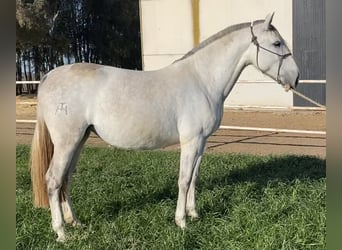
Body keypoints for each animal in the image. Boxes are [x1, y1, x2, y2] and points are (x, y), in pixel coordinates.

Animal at [30, 12, 298, 241]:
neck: (202, 80)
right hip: (67, 142)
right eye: (276, 43)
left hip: (80, 139)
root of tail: (48, 76)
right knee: (53, 179)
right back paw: (61, 232)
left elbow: (194, 177)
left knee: (66, 178)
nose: (295, 77)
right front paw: (182, 222)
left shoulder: (201, 142)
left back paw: (74, 222)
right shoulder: (190, 141)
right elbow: (184, 179)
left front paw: (194, 214)